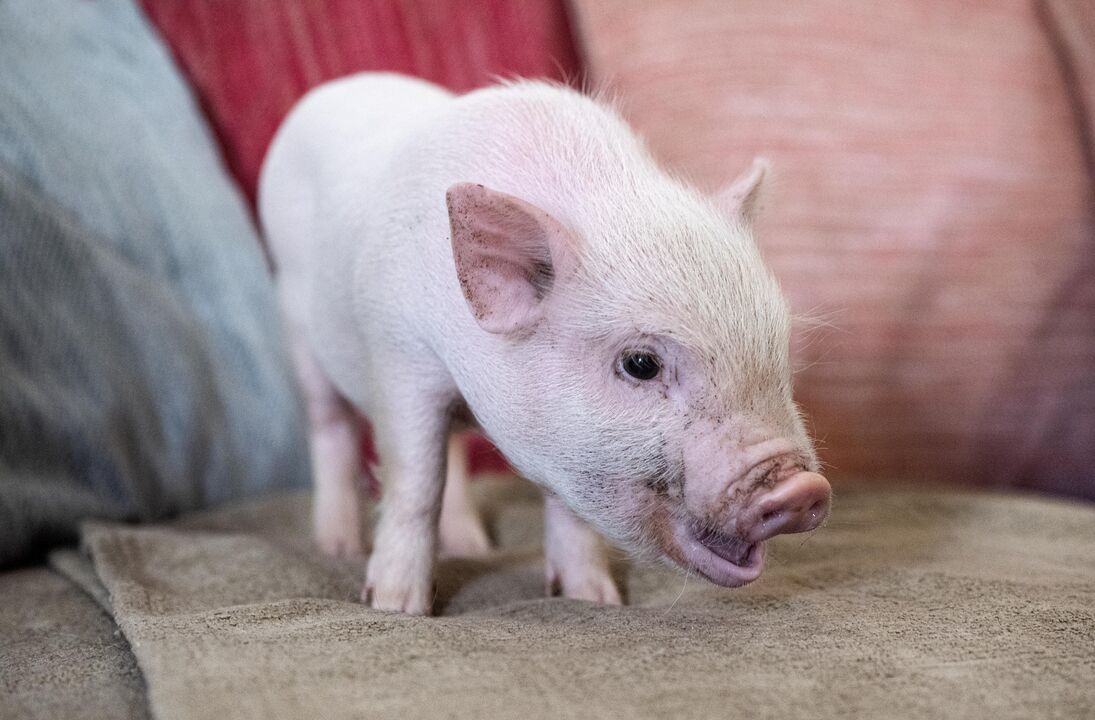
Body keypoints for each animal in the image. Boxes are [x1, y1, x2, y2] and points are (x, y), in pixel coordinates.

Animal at [258, 73, 831, 615]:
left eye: (778, 351)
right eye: (640, 364)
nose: (803, 489)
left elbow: (566, 510)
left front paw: (595, 600)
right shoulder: (401, 354)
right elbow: (416, 482)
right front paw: (395, 607)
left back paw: (473, 547)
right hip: (294, 321)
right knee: (330, 426)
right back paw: (338, 547)